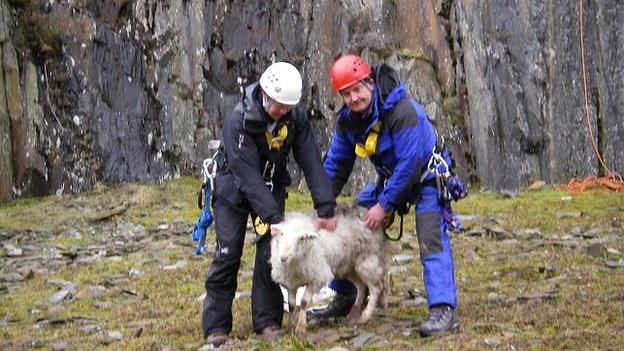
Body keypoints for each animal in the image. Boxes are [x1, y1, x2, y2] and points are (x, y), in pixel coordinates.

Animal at [270, 208, 388, 336]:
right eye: (281, 234)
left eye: (301, 239)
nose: (283, 257)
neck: (293, 263)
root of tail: (364, 212)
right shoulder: (291, 282)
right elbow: (291, 305)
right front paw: (291, 326)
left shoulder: (316, 279)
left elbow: (304, 302)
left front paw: (300, 327)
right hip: (349, 265)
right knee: (361, 287)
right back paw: (354, 312)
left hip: (367, 259)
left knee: (376, 288)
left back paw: (365, 316)